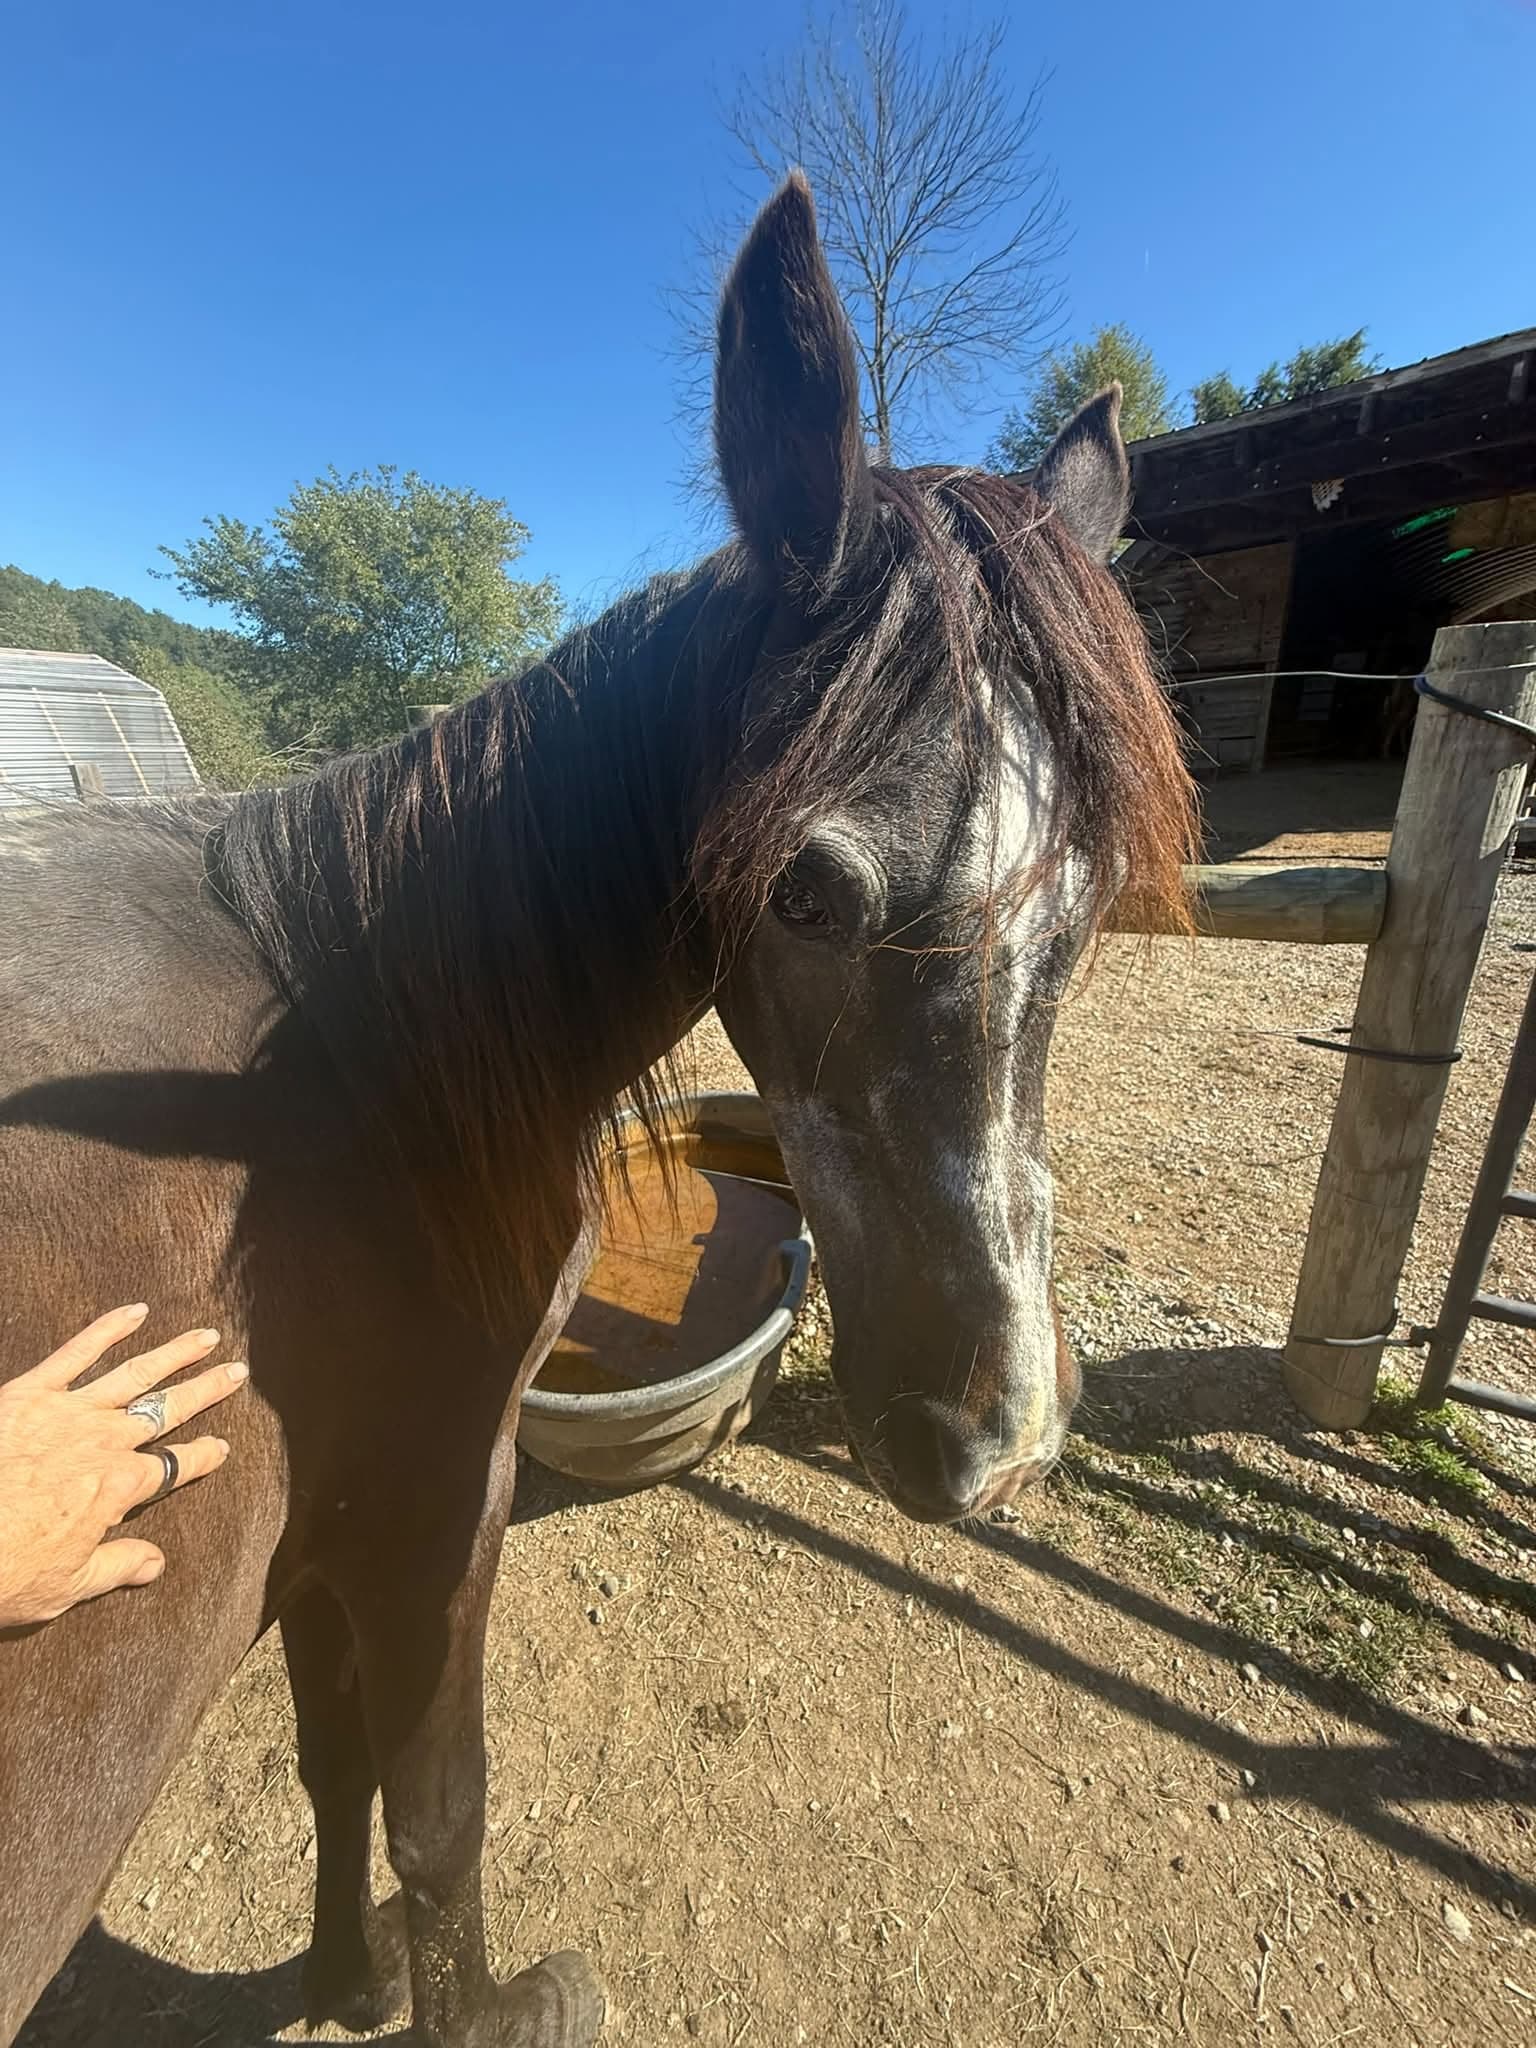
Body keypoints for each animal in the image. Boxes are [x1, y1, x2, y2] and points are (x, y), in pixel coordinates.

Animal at [0, 175, 1195, 2047]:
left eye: (1088, 904)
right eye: (805, 893)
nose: (992, 1442)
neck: (349, 1045)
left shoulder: (328, 1533)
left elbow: (332, 1761)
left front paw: (345, 1975)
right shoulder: (432, 1499)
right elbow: (436, 1806)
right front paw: (466, 2000)